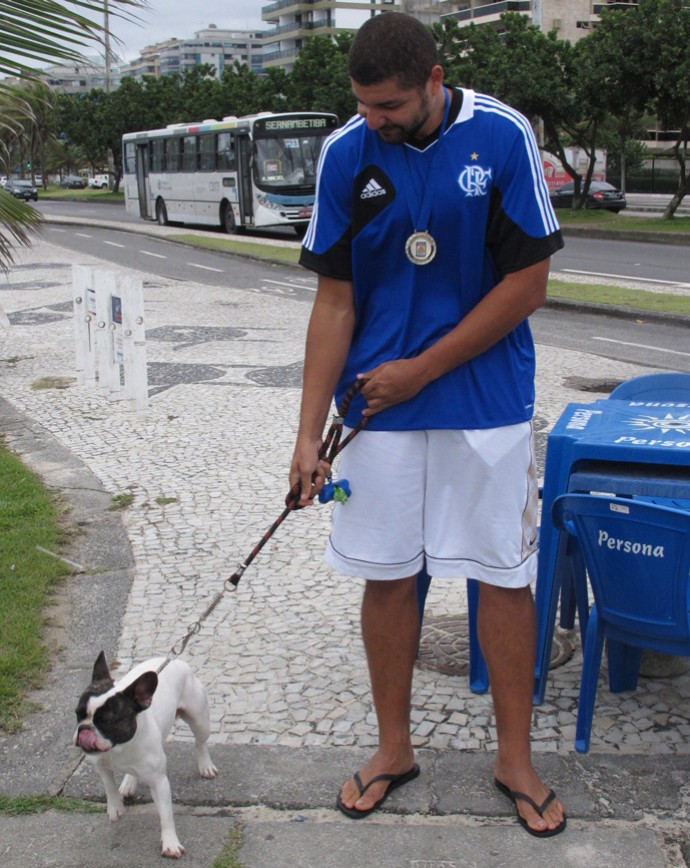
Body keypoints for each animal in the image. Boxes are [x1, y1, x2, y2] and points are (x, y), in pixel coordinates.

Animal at [74, 656, 216, 856]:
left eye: (107, 722)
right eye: (78, 714)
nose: (84, 729)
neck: (121, 747)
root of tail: (175, 660)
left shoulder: (159, 782)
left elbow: (166, 814)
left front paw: (170, 843)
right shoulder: (101, 765)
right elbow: (109, 787)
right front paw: (115, 807)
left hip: (199, 721)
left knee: (200, 743)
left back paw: (205, 765)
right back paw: (128, 784)